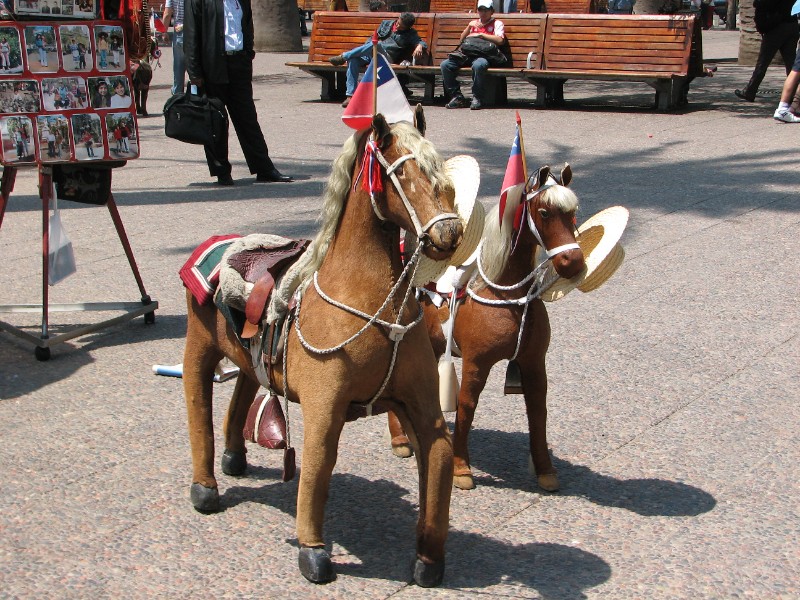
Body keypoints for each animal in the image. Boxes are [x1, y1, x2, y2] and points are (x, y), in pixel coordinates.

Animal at [182, 109, 463, 587]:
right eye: (402, 173)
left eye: (440, 171)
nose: (450, 232)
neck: (367, 301)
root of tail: (221, 243)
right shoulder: (324, 408)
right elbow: (317, 465)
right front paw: (312, 552)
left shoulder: (424, 408)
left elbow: (439, 459)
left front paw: (428, 559)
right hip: (198, 348)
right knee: (197, 404)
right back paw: (205, 488)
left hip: (248, 357)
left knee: (242, 390)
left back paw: (234, 457)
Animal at [388, 164, 586, 493]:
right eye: (545, 212)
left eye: (573, 211)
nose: (573, 262)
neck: (506, 295)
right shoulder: (476, 363)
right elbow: (466, 407)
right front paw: (460, 468)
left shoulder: (534, 362)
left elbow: (538, 411)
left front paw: (545, 469)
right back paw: (399, 438)